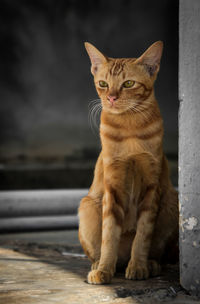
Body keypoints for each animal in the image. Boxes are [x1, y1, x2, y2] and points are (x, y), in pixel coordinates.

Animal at [78, 41, 178, 284]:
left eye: (129, 83)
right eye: (103, 84)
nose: (111, 98)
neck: (129, 128)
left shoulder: (151, 186)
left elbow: (142, 235)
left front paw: (139, 266)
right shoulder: (112, 186)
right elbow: (109, 234)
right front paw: (104, 269)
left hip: (172, 203)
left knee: (158, 253)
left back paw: (150, 265)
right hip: (87, 205)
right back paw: (99, 264)